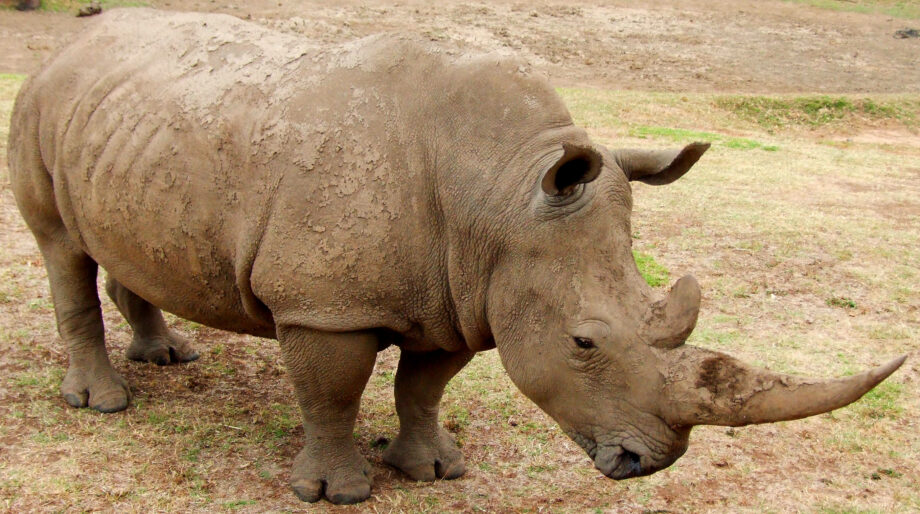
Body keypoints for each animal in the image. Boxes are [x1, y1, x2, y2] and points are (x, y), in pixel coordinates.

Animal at [8, 9, 905, 505]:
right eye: (584, 342)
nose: (646, 463)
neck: (501, 192)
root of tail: (72, 43)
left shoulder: (461, 292)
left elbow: (424, 386)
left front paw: (433, 471)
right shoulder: (323, 305)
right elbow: (332, 394)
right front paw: (335, 492)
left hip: (128, 123)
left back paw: (167, 356)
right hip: (40, 102)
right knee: (60, 249)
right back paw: (103, 404)